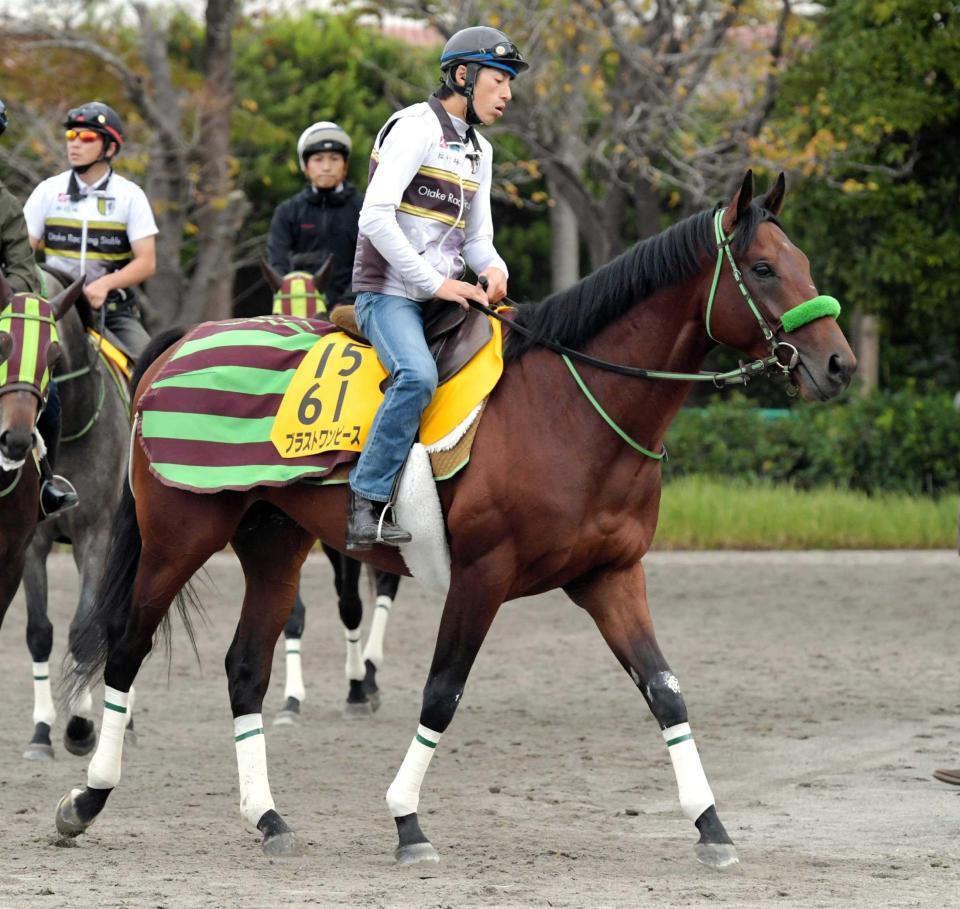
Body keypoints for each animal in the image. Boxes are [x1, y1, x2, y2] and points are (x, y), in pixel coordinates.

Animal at [58, 176, 856, 864]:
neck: (568, 405)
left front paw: (711, 823)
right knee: (126, 647)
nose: (840, 365)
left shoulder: (611, 575)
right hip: (178, 536)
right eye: (762, 267)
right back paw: (86, 799)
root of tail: (185, 341)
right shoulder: (482, 575)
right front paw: (407, 820)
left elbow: (665, 689)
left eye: (802, 263)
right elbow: (443, 691)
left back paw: (268, 817)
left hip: (273, 546)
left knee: (245, 669)